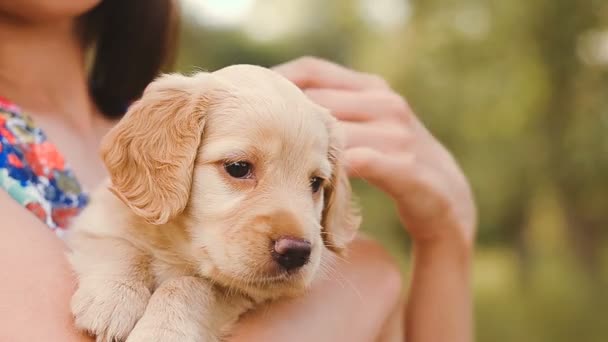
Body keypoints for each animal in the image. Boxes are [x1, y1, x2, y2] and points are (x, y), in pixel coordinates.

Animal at [66, 65, 360, 342]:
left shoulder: (239, 290)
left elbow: (190, 286)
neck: (179, 248)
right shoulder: (96, 221)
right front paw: (113, 298)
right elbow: (121, 247)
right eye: (238, 167)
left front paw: (162, 331)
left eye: (316, 183)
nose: (297, 252)